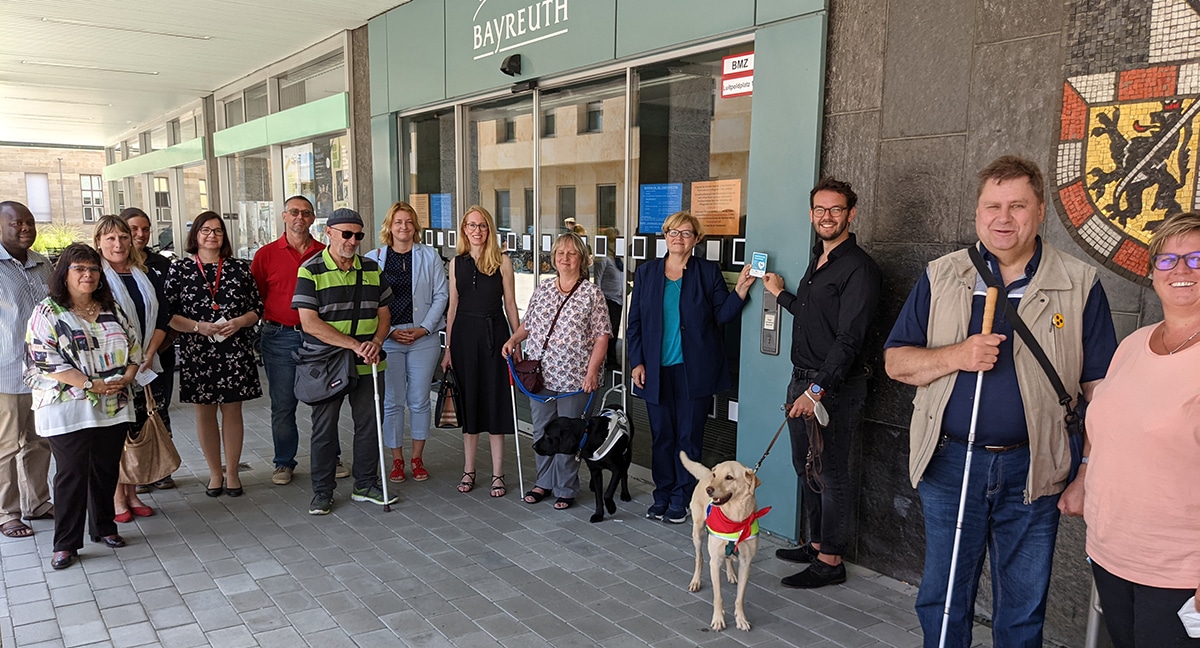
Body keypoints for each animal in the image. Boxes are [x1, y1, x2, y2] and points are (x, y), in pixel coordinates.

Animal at [681, 453, 763, 628]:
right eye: (716, 475)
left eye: (729, 477)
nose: (709, 489)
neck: (735, 518)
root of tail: (705, 473)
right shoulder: (715, 562)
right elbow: (718, 596)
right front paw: (718, 620)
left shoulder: (746, 563)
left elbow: (740, 597)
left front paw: (741, 619)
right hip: (698, 532)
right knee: (699, 558)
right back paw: (696, 581)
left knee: (729, 557)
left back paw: (731, 573)